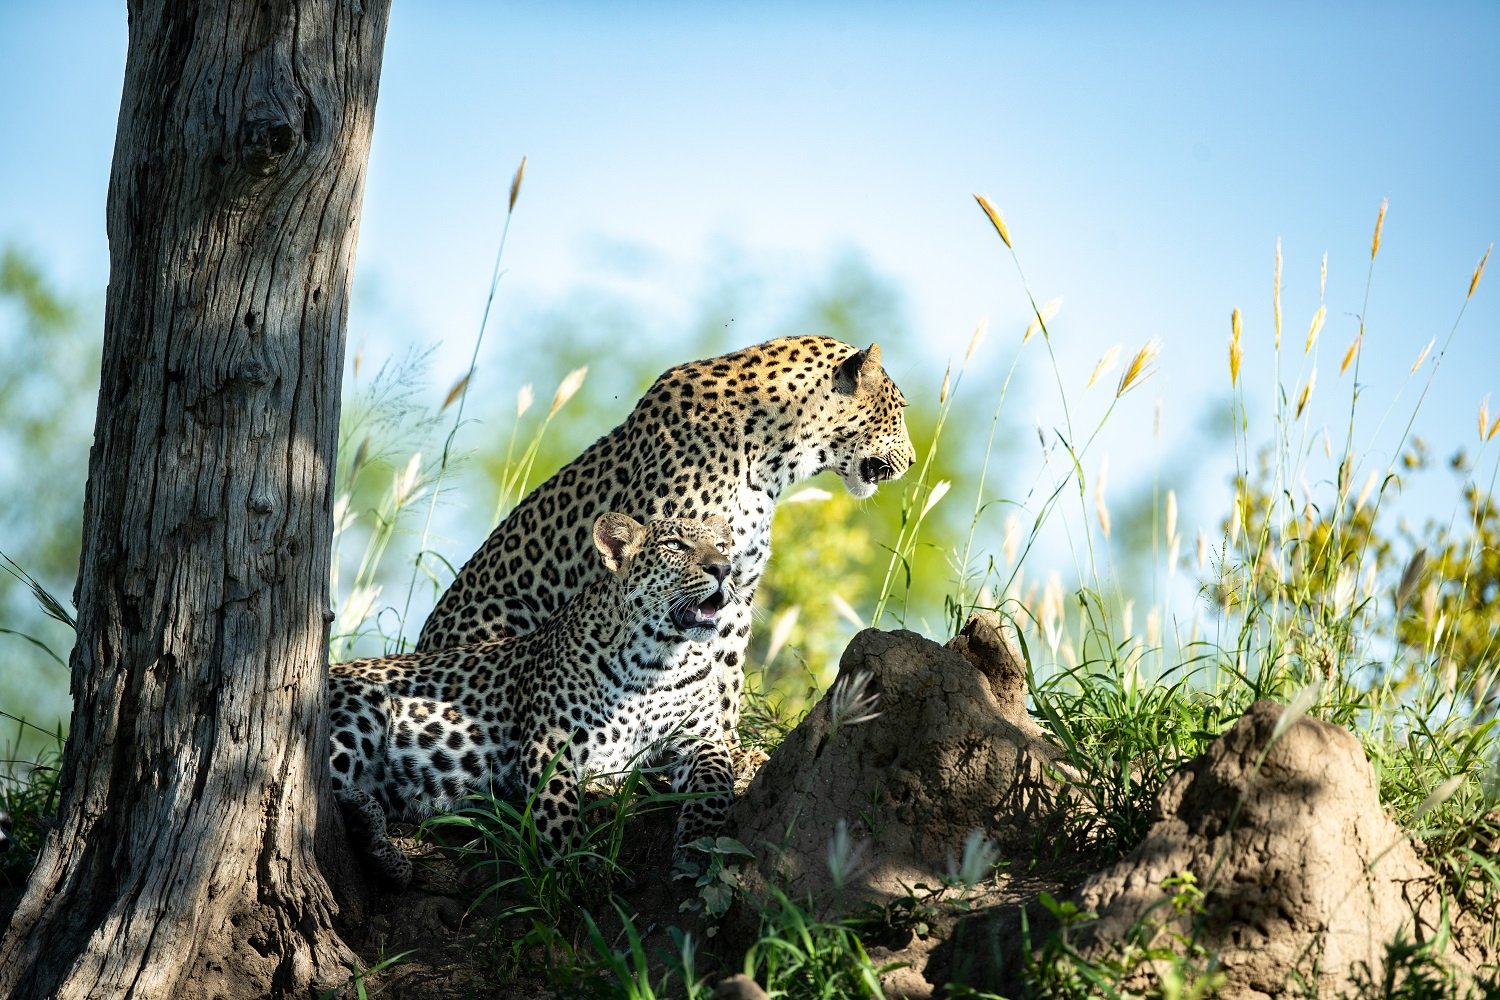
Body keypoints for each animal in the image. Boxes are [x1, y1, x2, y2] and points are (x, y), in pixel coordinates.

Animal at [329, 512, 737, 889]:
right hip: (364, 702)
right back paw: (376, 837)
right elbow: (559, 812)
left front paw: (698, 848)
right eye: (675, 545)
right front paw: (578, 870)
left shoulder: (702, 739)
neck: (659, 661)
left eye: (722, 546)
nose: (723, 568)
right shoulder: (549, 744)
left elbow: (715, 787)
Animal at [416, 335, 916, 748]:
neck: (773, 459)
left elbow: (724, 672)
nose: (911, 461)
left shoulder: (736, 585)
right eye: (900, 409)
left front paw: (726, 742)